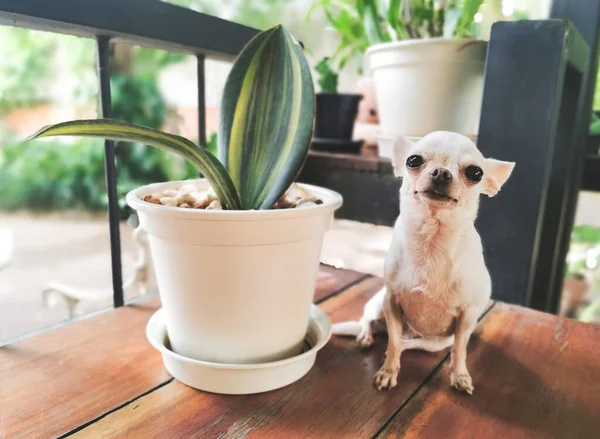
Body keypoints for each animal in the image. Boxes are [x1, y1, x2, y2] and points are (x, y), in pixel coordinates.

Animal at [332, 131, 516, 396]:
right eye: (413, 160)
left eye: (475, 173)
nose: (441, 173)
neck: (432, 240)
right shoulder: (391, 302)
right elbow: (393, 340)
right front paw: (388, 372)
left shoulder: (467, 318)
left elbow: (459, 349)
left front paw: (460, 375)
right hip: (378, 306)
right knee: (369, 323)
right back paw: (366, 337)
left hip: (433, 343)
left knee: (406, 343)